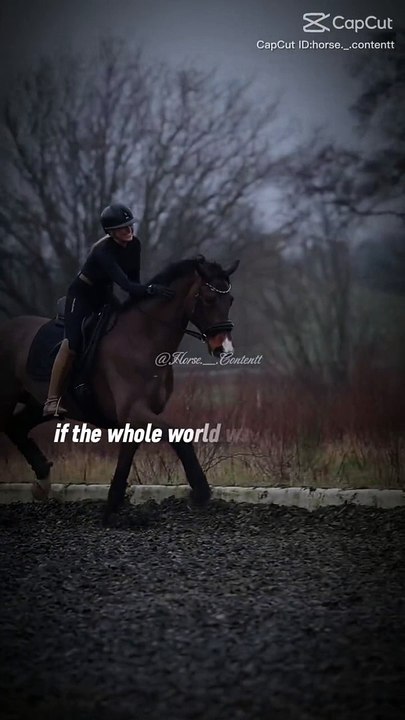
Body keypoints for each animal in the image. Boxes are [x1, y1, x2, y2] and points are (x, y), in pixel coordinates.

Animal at [0, 255, 239, 524]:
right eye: (208, 299)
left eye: (230, 300)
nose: (224, 349)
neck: (142, 339)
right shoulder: (135, 412)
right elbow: (178, 436)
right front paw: (200, 492)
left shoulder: (134, 419)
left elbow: (126, 460)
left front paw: (111, 509)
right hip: (5, 398)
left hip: (36, 403)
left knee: (15, 427)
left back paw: (41, 483)